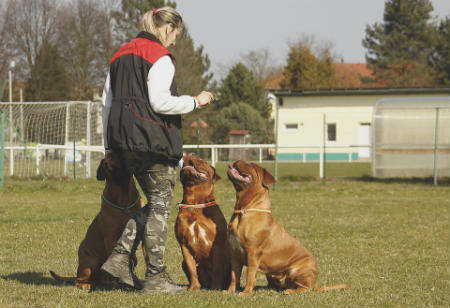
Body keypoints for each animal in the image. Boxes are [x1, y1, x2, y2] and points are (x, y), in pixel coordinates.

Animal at [174, 154, 230, 292]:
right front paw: (194, 287)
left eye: (203, 161)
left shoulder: (218, 245)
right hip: (183, 262)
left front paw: (216, 288)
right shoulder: (184, 245)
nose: (190, 154)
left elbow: (217, 269)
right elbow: (191, 269)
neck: (195, 203)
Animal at [227, 160, 350, 294]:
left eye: (251, 165)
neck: (243, 210)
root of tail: (315, 283)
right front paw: (230, 291)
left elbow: (250, 275)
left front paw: (246, 292)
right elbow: (234, 275)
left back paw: (290, 291)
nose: (237, 160)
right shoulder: (234, 254)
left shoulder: (253, 253)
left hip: (297, 270)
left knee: (305, 288)